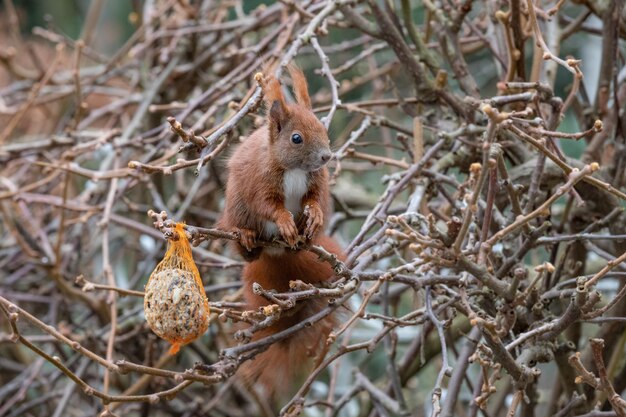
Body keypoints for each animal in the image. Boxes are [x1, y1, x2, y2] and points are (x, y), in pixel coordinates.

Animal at [218, 65, 332, 260]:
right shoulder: (261, 178)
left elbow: (314, 196)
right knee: (247, 249)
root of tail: (274, 250)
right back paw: (246, 235)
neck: (295, 169)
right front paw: (284, 220)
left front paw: (315, 213)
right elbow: (265, 203)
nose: (327, 156)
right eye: (296, 138)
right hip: (237, 208)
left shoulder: (317, 179)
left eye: (323, 128)